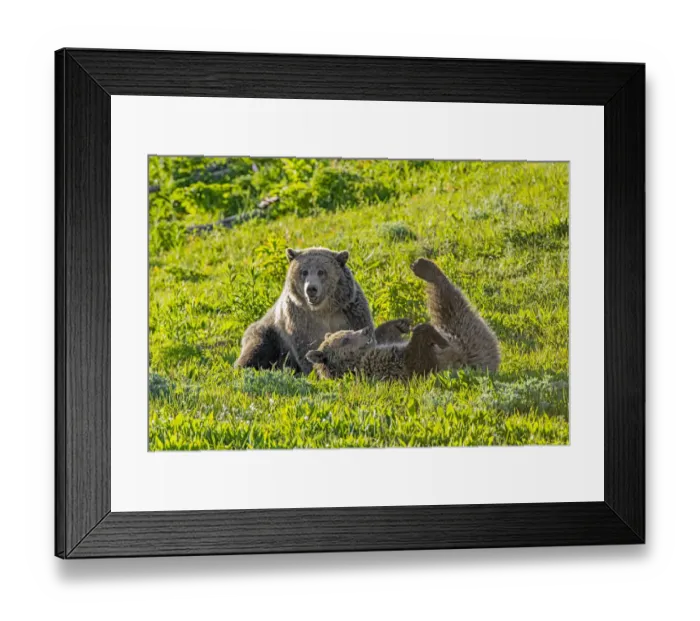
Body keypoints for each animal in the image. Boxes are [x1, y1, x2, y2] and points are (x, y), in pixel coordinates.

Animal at [234, 247, 410, 375]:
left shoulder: (349, 311)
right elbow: (306, 346)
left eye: (321, 271)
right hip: (268, 333)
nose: (311, 288)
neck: (323, 310)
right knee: (255, 349)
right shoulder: (300, 319)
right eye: (304, 272)